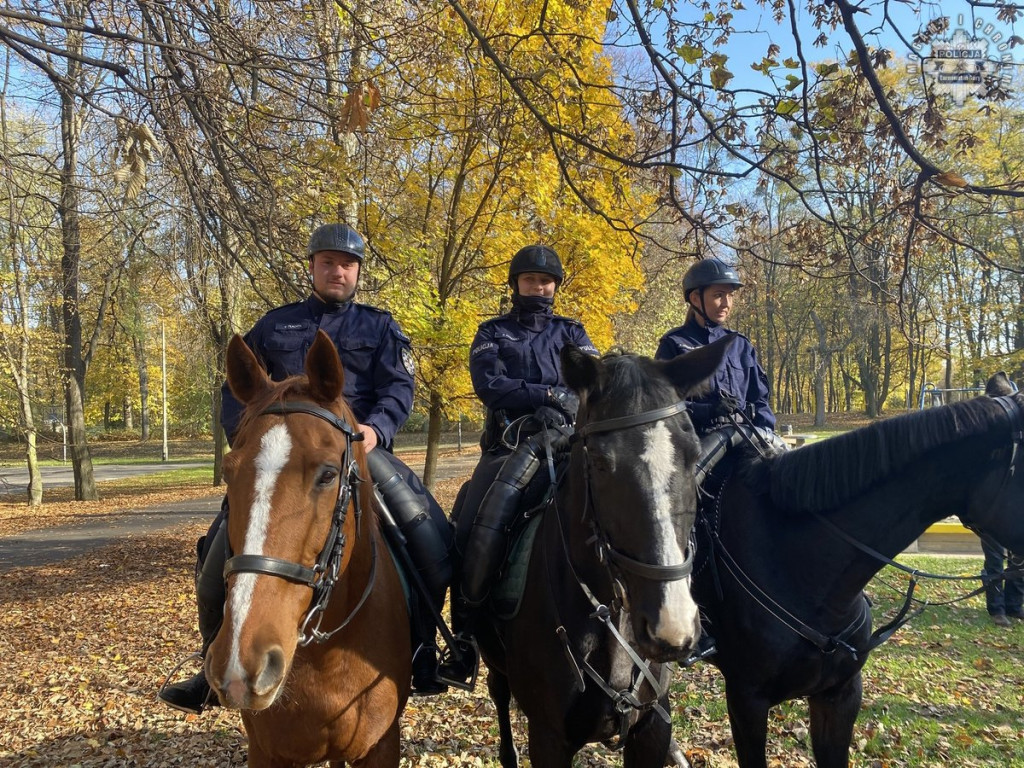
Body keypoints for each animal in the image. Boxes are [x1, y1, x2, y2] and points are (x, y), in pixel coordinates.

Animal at [205, 331, 409, 768]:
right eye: (228, 472)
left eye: (329, 474)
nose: (242, 662)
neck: (327, 656)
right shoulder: (267, 751)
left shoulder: (380, 746)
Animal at [475, 342, 733, 768]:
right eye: (598, 461)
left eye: (694, 454)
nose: (671, 625)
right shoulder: (548, 739)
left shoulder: (652, 729)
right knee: (499, 698)